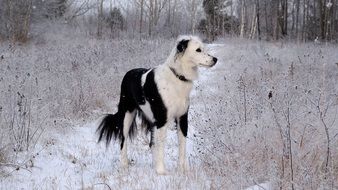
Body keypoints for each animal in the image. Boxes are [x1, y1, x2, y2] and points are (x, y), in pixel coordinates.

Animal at [97, 35, 218, 174]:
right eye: (198, 50)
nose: (215, 59)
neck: (177, 76)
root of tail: (128, 73)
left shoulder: (182, 117)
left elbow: (182, 145)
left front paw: (181, 170)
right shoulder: (162, 120)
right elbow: (161, 145)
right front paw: (161, 171)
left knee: (151, 143)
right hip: (126, 115)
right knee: (123, 141)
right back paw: (124, 165)